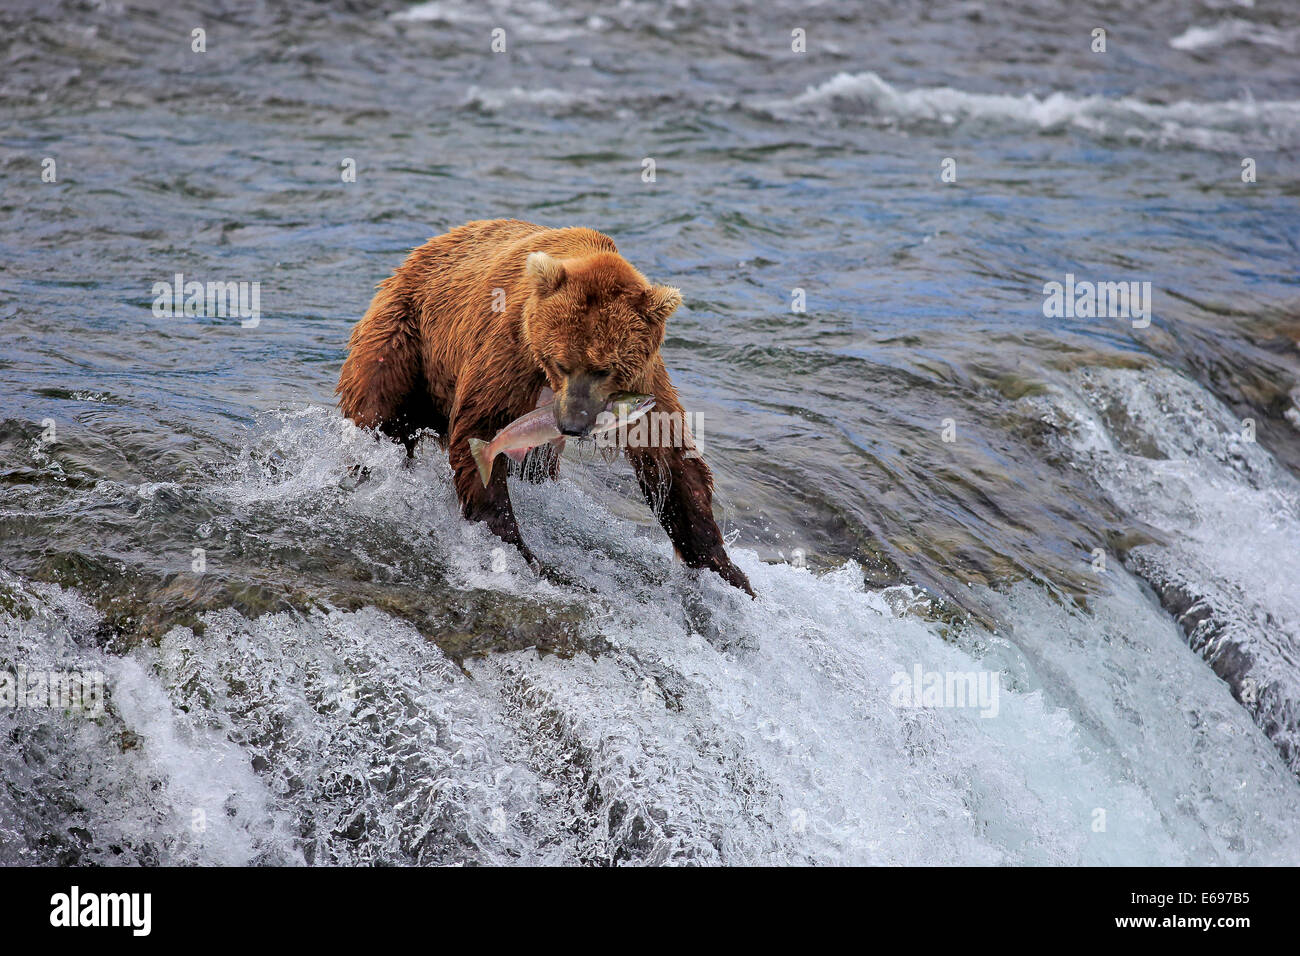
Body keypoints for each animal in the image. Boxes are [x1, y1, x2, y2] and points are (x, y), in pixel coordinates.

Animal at [338, 219, 754, 595]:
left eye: (606, 368)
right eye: (561, 363)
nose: (571, 424)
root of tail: (417, 255)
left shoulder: (644, 380)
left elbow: (669, 456)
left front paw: (728, 569)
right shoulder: (509, 347)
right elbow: (482, 427)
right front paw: (515, 544)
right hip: (405, 338)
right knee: (379, 413)